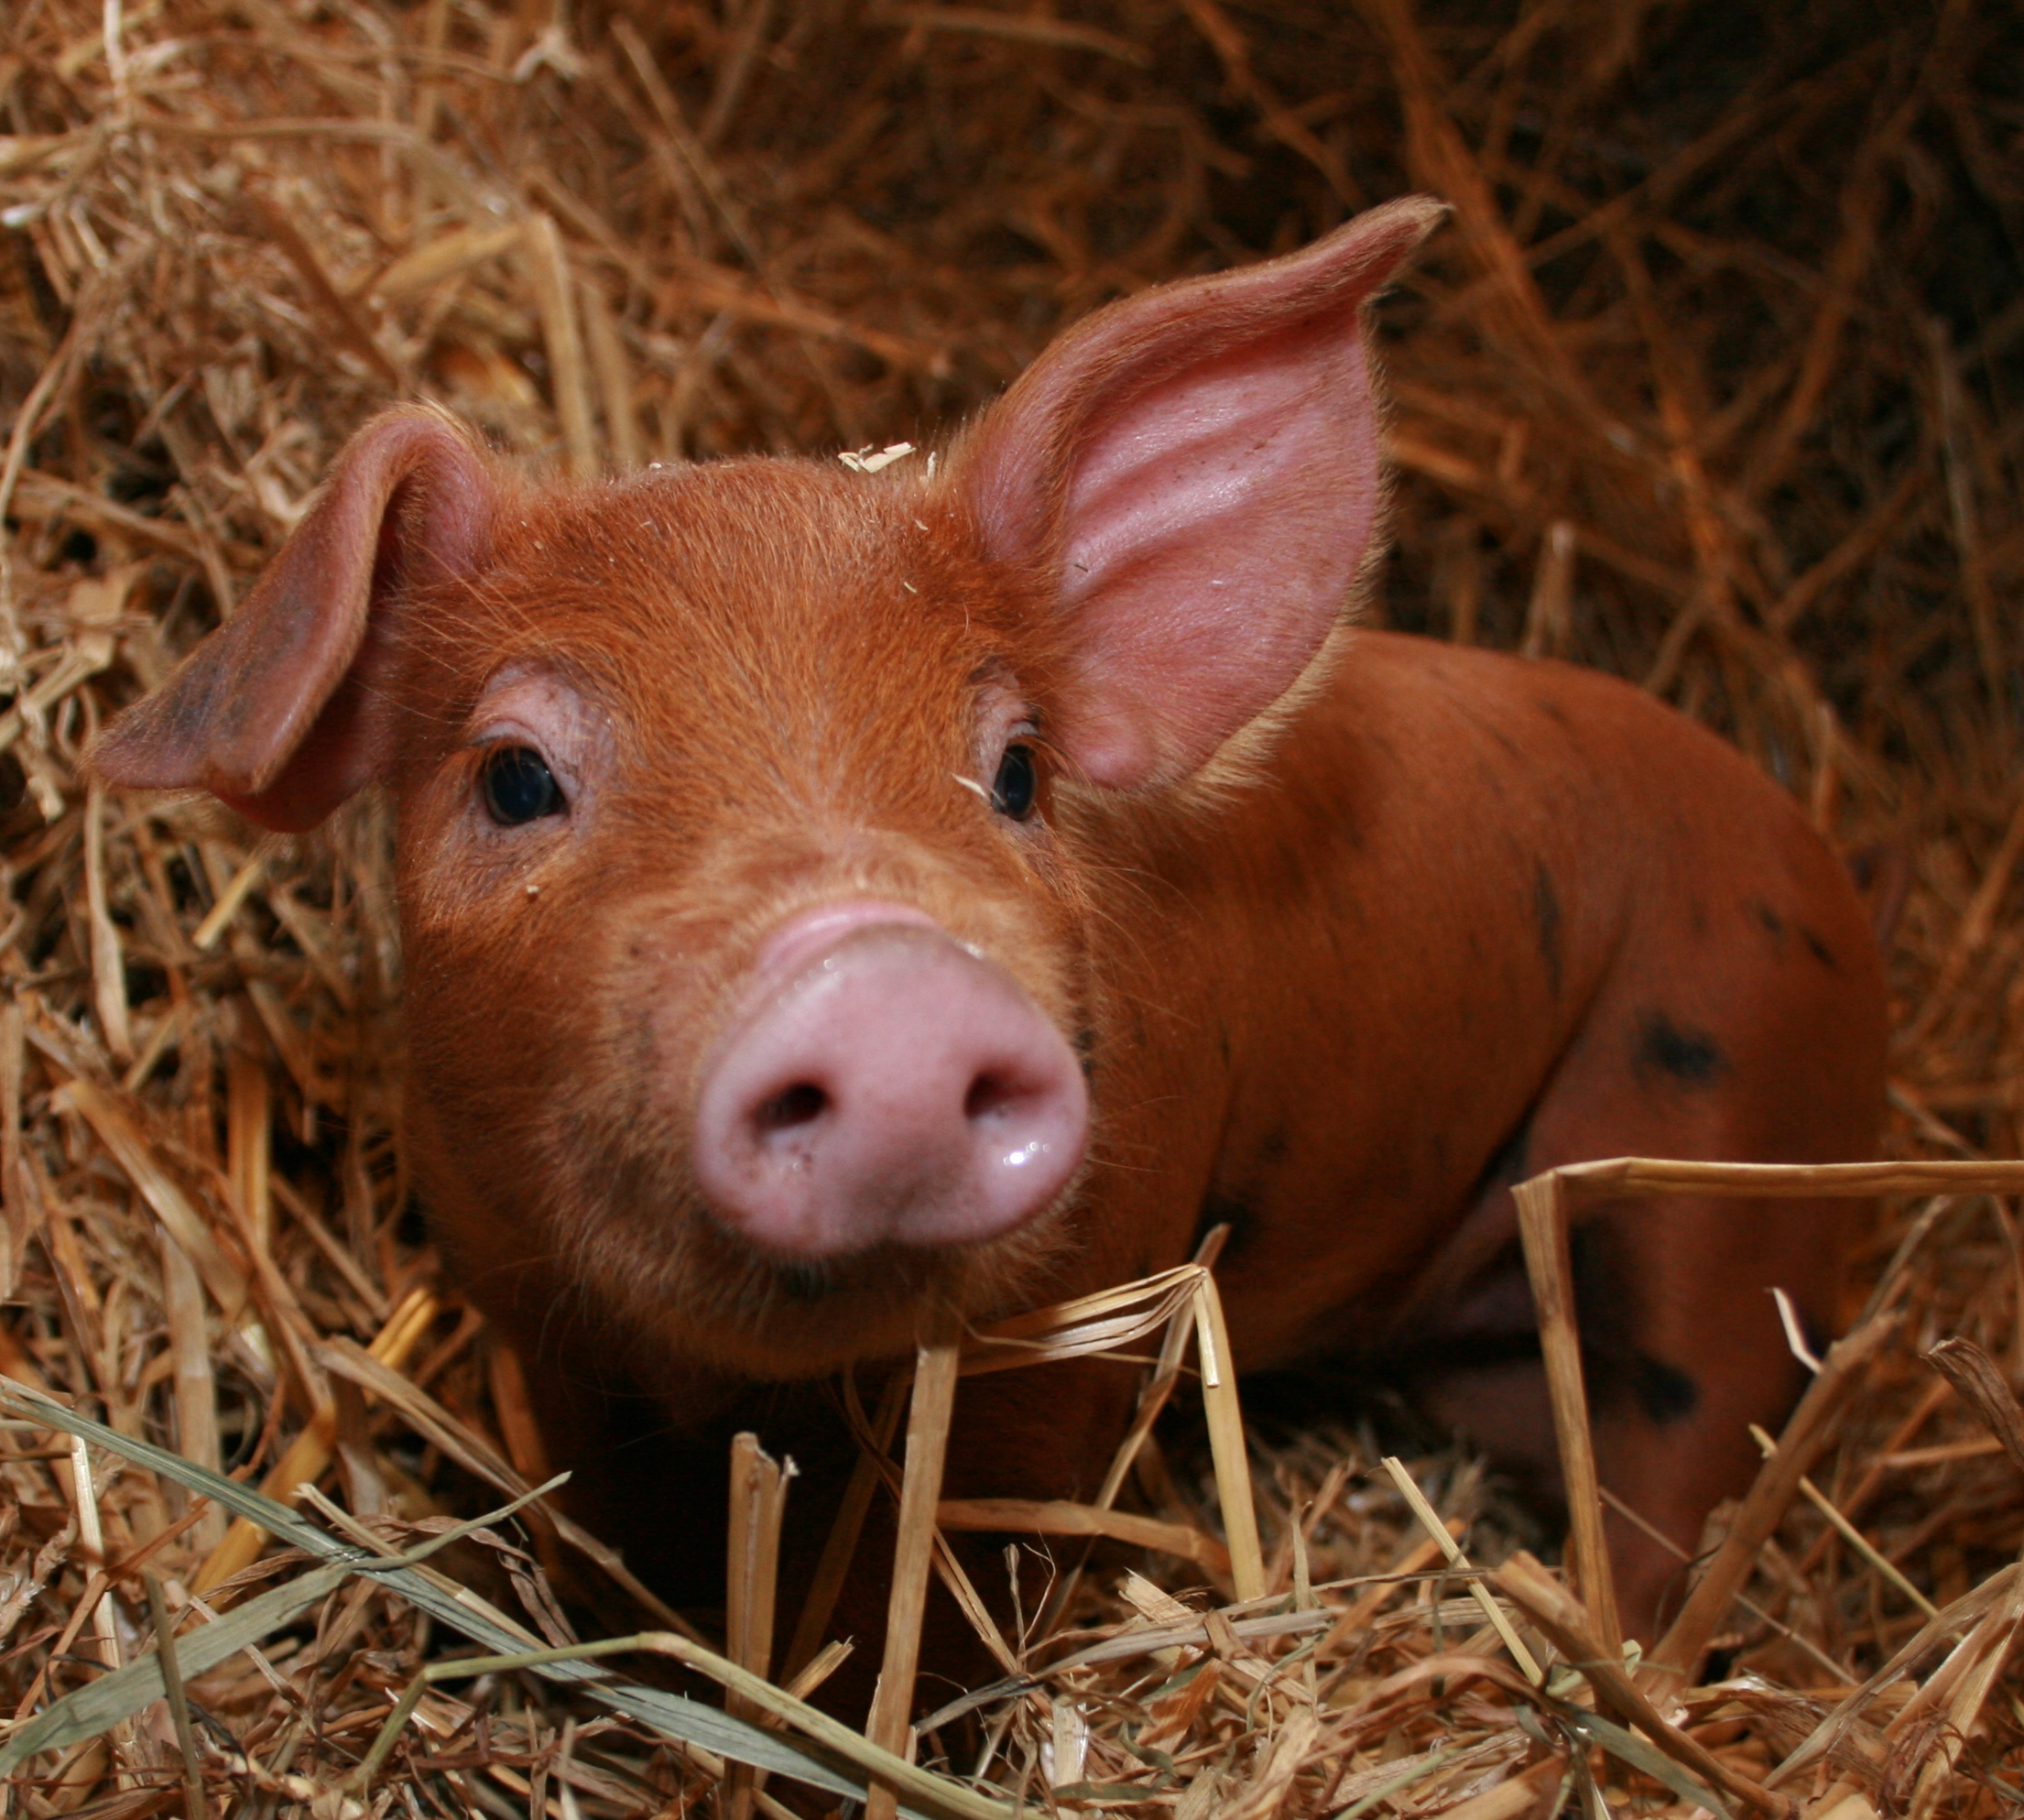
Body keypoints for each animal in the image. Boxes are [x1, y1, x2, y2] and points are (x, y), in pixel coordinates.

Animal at [87, 199, 1886, 1692]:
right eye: (515, 774)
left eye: (1014, 769)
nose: (884, 983)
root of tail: (1814, 851)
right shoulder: (523, 1301)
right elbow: (612, 1519)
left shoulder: (1092, 1304)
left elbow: (966, 1570)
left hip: (1731, 1155)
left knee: (1676, 1466)